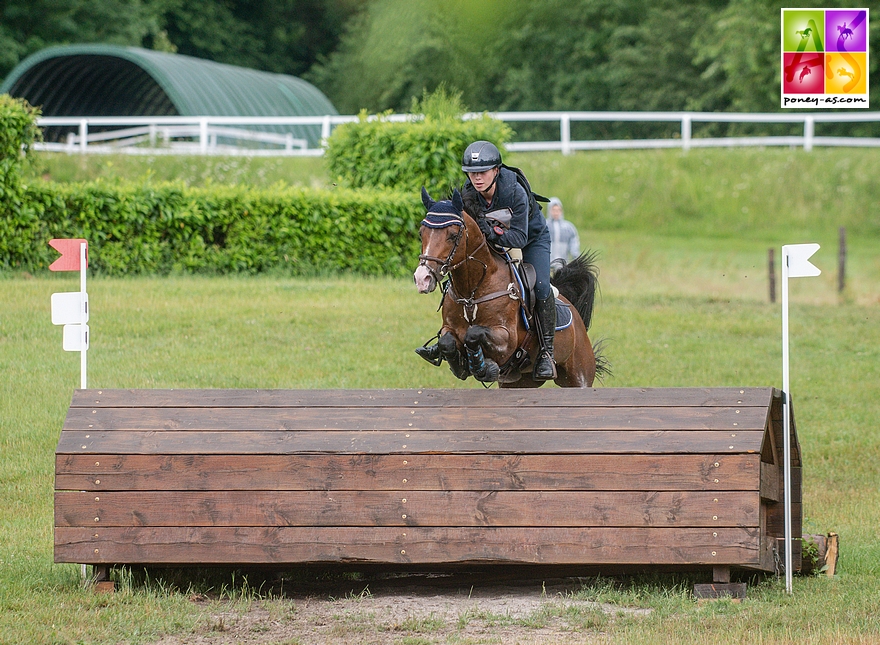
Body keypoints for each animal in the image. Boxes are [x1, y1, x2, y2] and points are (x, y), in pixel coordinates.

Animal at [416, 187, 608, 388]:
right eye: (421, 233)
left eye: (453, 236)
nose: (422, 278)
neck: (472, 291)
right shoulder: (449, 328)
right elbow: (446, 342)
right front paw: (461, 366)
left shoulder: (506, 339)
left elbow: (473, 333)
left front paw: (483, 367)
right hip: (520, 381)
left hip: (579, 375)